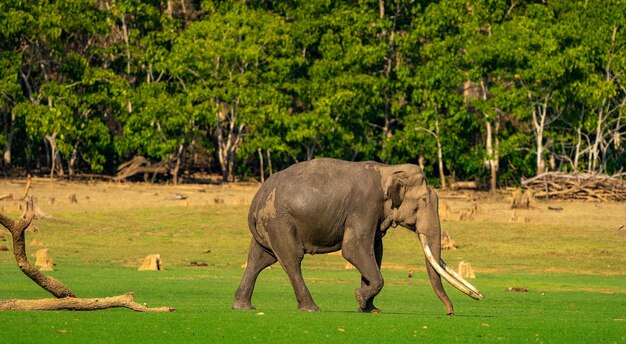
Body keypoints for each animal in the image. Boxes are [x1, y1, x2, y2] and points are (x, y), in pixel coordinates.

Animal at [232, 158, 480, 314]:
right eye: (423, 202)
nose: (450, 312)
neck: (388, 170)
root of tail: (255, 201)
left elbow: (375, 252)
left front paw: (370, 309)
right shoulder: (365, 206)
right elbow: (354, 249)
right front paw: (360, 298)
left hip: (268, 226)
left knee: (259, 259)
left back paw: (243, 307)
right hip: (280, 222)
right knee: (292, 260)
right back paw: (311, 308)